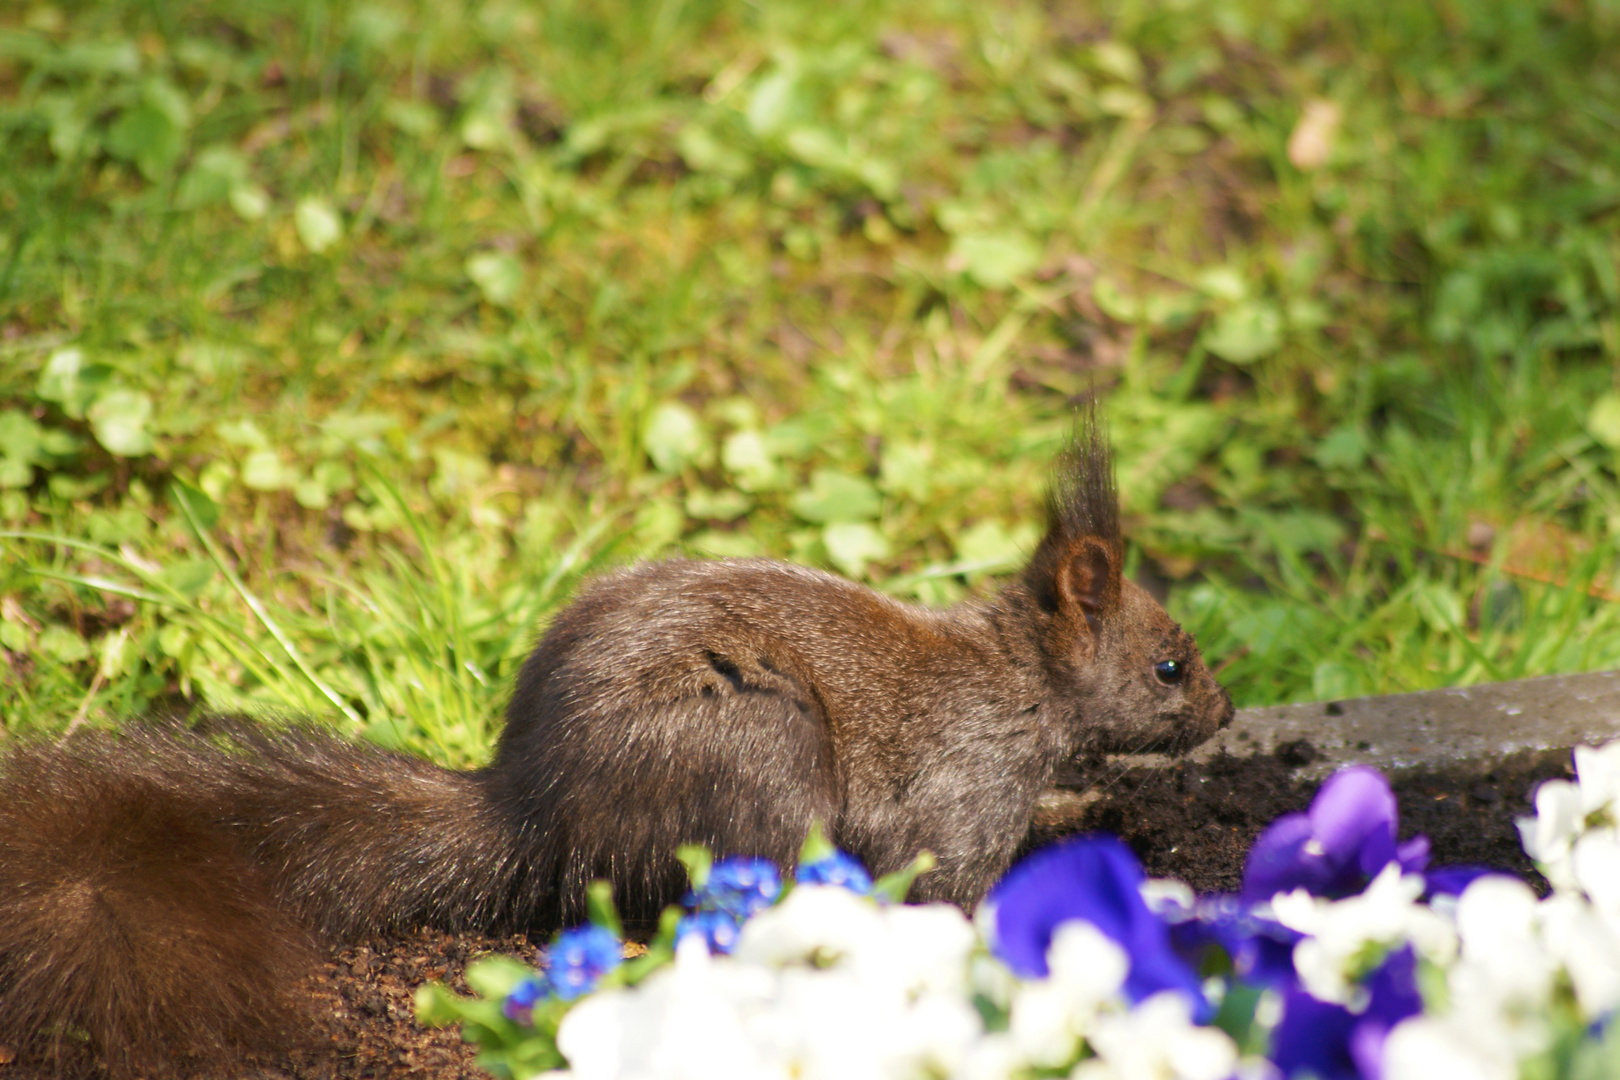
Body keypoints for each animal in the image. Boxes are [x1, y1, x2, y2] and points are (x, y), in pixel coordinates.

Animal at [0, 414, 1224, 1075]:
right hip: (754, 749)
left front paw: (1089, 810)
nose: (1221, 713)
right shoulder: (962, 790)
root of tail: (535, 809)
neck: (1024, 681)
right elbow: (953, 890)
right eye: (1171, 665)